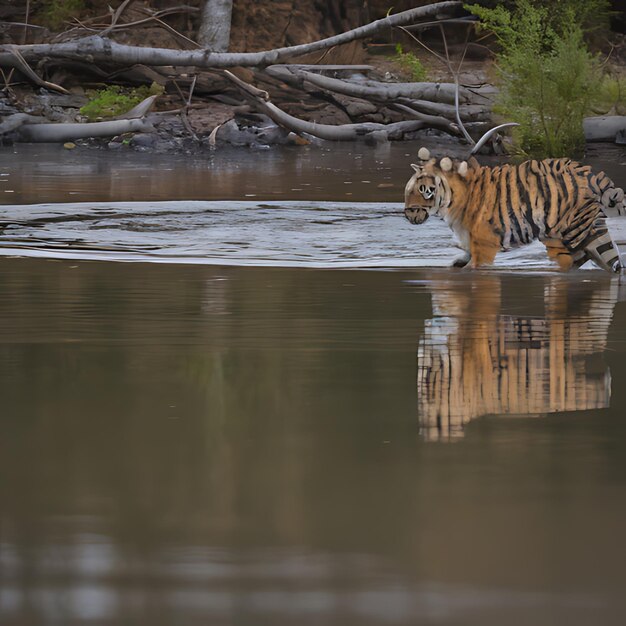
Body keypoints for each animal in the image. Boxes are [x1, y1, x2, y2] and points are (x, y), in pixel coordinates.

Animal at [402, 147, 620, 274]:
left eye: (421, 190)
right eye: (408, 191)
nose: (408, 213)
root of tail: (593, 175)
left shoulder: (483, 247)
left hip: (576, 229)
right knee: (607, 260)